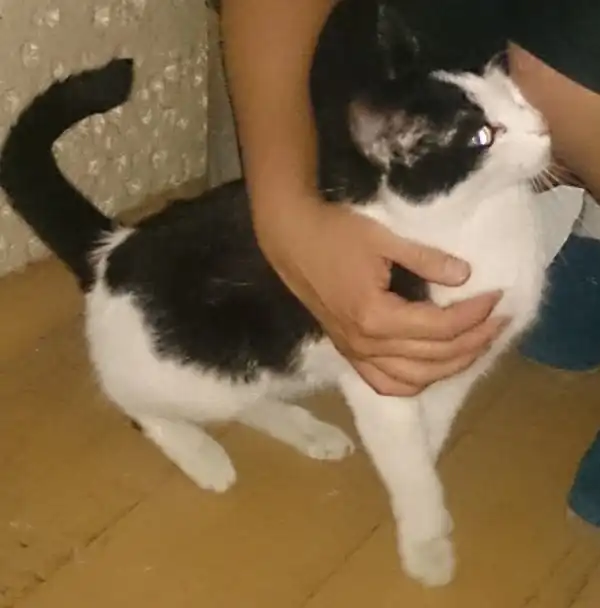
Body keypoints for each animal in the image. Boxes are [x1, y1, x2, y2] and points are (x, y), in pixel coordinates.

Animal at [0, 0, 550, 588]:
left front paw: (428, 495)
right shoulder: (379, 371)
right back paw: (202, 453)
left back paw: (307, 430)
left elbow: (427, 436)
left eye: (516, 97)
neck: (480, 226)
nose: (543, 130)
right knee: (138, 405)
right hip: (195, 366)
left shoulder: (457, 369)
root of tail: (113, 249)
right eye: (483, 137)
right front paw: (427, 545)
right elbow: (408, 463)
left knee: (249, 399)